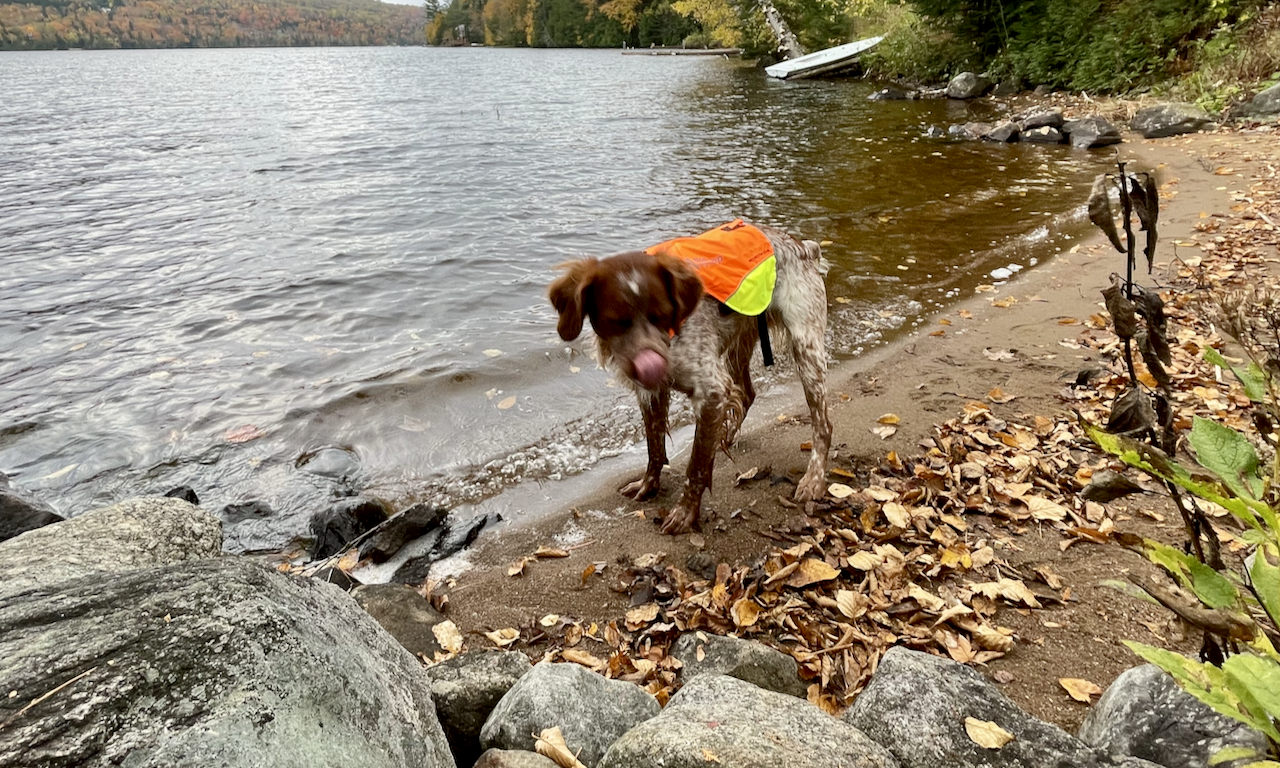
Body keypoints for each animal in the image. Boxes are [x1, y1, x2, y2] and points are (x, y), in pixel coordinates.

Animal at [547, 221, 829, 535]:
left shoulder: (711, 391)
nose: (652, 364)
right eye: (615, 321)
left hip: (806, 348)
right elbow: (655, 445)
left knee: (823, 426)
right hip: (739, 343)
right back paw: (726, 437)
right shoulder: (653, 392)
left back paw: (813, 480)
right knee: (747, 393)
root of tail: (804, 247)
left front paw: (685, 513)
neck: (673, 338)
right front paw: (649, 485)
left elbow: (696, 465)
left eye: (662, 314)